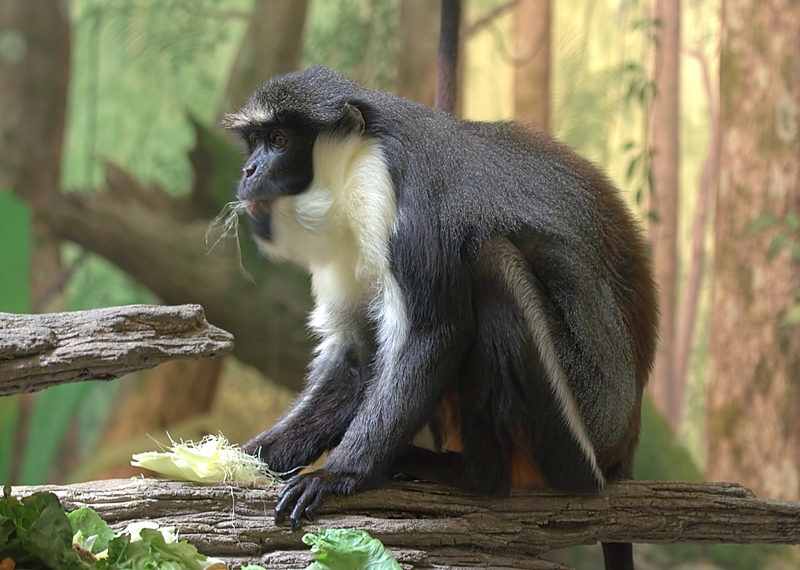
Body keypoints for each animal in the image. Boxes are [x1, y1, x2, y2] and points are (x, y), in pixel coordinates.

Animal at [223, 64, 656, 564]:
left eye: (277, 139)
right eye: (253, 143)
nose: (247, 171)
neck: (353, 163)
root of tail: (624, 443)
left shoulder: (401, 203)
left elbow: (434, 333)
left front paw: (336, 477)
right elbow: (356, 361)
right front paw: (240, 457)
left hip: (576, 433)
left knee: (493, 264)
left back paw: (476, 476)